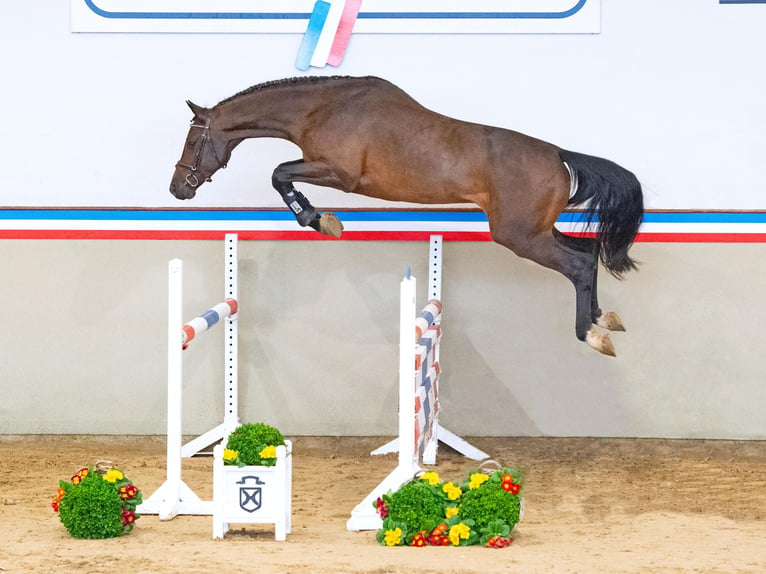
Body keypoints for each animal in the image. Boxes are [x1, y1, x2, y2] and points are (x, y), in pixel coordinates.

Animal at [171, 75, 644, 358]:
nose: (178, 188)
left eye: (193, 142)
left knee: (578, 264)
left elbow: (279, 173)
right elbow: (281, 173)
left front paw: (319, 220)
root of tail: (559, 154)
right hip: (538, 232)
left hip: (520, 236)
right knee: (588, 252)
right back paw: (604, 318)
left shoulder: (339, 173)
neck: (322, 107)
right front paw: (322, 219)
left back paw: (592, 334)